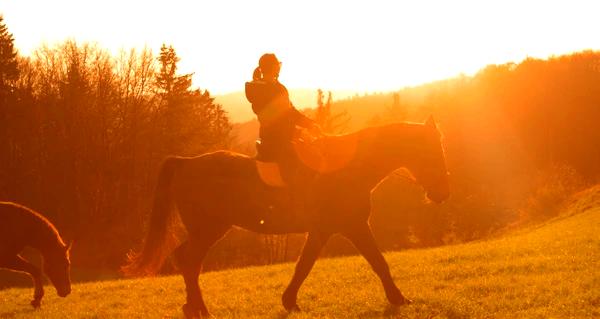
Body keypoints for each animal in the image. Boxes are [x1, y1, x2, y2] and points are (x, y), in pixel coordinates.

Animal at [123, 116, 450, 318]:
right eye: (432, 150)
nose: (441, 193)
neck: (348, 167)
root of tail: (187, 163)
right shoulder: (352, 225)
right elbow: (378, 262)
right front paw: (398, 298)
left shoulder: (323, 230)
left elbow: (304, 266)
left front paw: (289, 301)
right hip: (208, 229)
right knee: (189, 262)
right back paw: (199, 309)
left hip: (206, 230)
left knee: (185, 260)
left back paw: (192, 308)